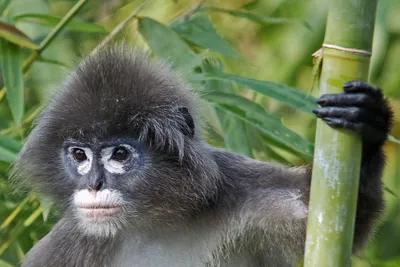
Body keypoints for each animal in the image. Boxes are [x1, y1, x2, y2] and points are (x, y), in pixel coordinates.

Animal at [12, 46, 394, 267]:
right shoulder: (70, 242)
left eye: (119, 154)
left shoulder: (242, 189)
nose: (93, 184)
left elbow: (332, 223)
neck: (153, 223)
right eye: (79, 155)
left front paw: (369, 125)